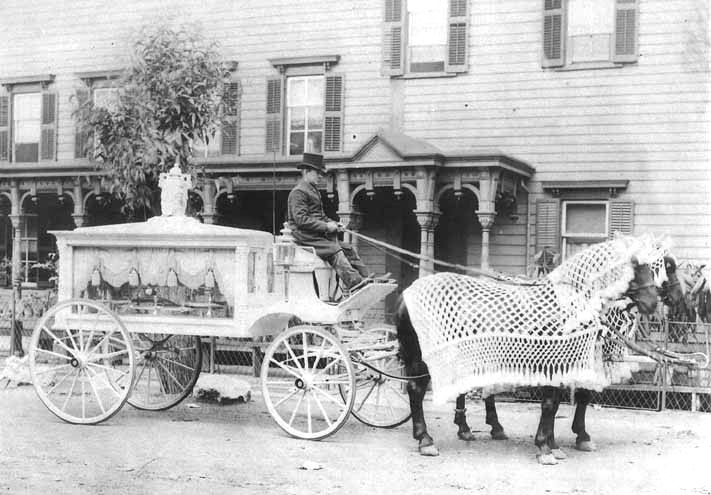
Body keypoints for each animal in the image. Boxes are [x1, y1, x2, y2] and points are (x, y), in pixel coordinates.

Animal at [398, 234, 664, 460]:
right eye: (635, 266)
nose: (653, 303)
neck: (567, 304)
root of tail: (406, 294)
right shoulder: (555, 362)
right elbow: (550, 404)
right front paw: (546, 447)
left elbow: (558, 404)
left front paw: (555, 444)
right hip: (423, 358)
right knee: (416, 390)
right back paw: (425, 439)